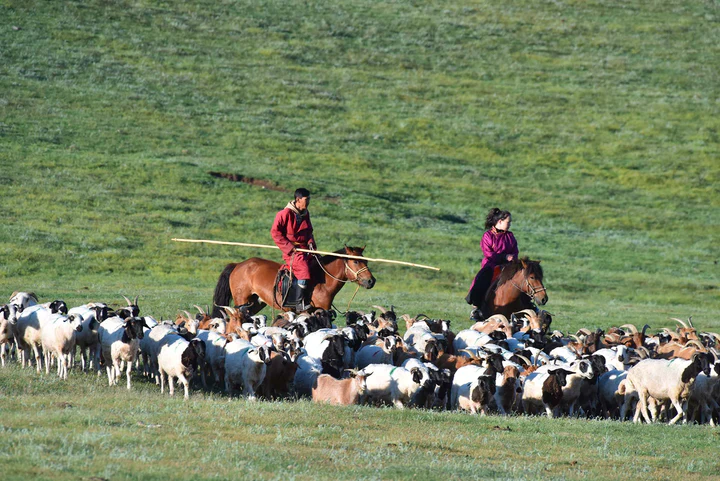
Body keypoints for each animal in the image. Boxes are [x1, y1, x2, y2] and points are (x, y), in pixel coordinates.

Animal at [211, 246, 376, 316]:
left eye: (366, 261)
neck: (322, 282)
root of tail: (238, 265)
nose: (371, 281)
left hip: (254, 303)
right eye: (356, 261)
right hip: (241, 302)